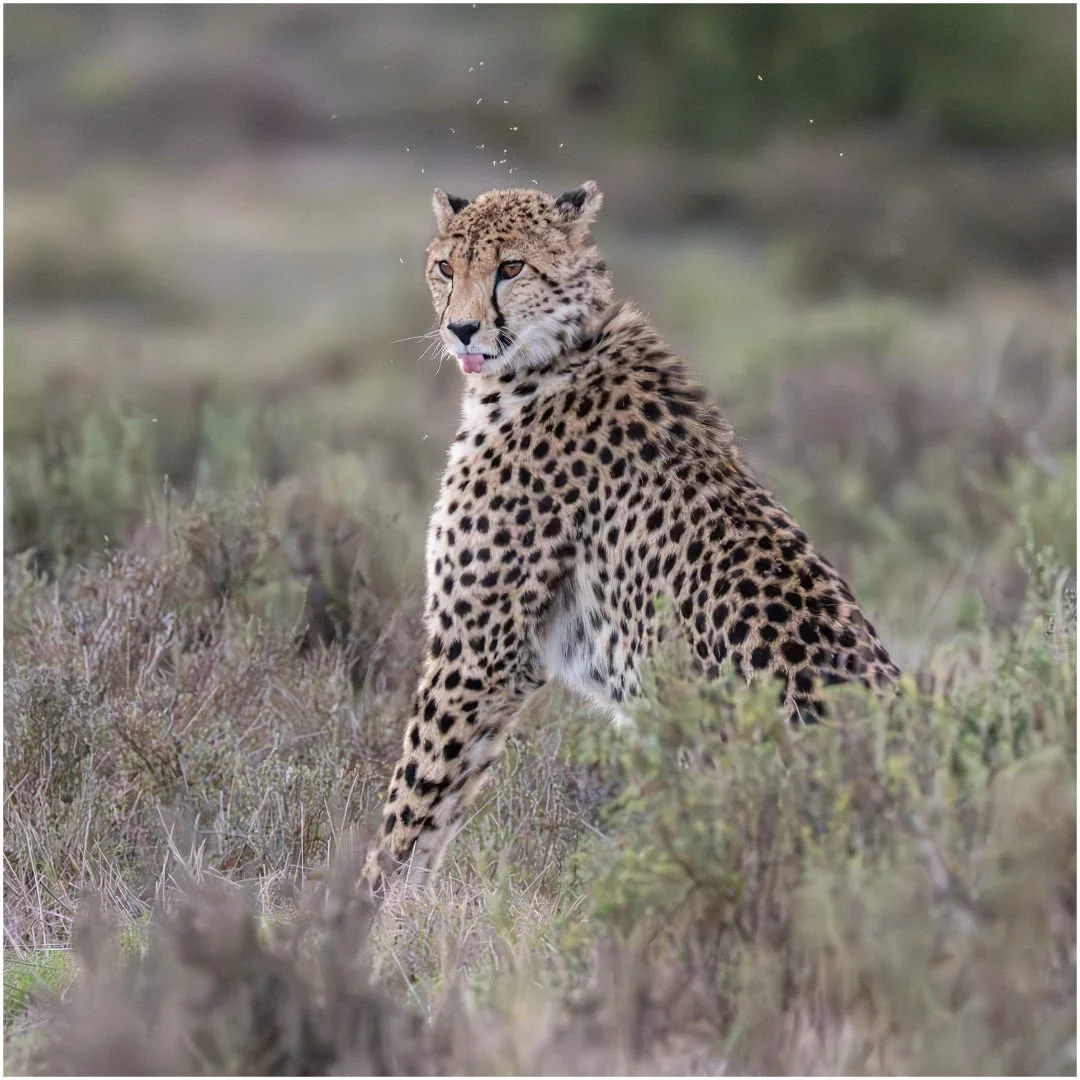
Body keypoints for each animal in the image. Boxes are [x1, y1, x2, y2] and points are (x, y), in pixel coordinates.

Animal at [363, 180, 899, 896]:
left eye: (511, 268)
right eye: (447, 267)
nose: (462, 329)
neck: (555, 354)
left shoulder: (477, 652)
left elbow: (412, 801)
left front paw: (356, 909)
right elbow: (437, 807)